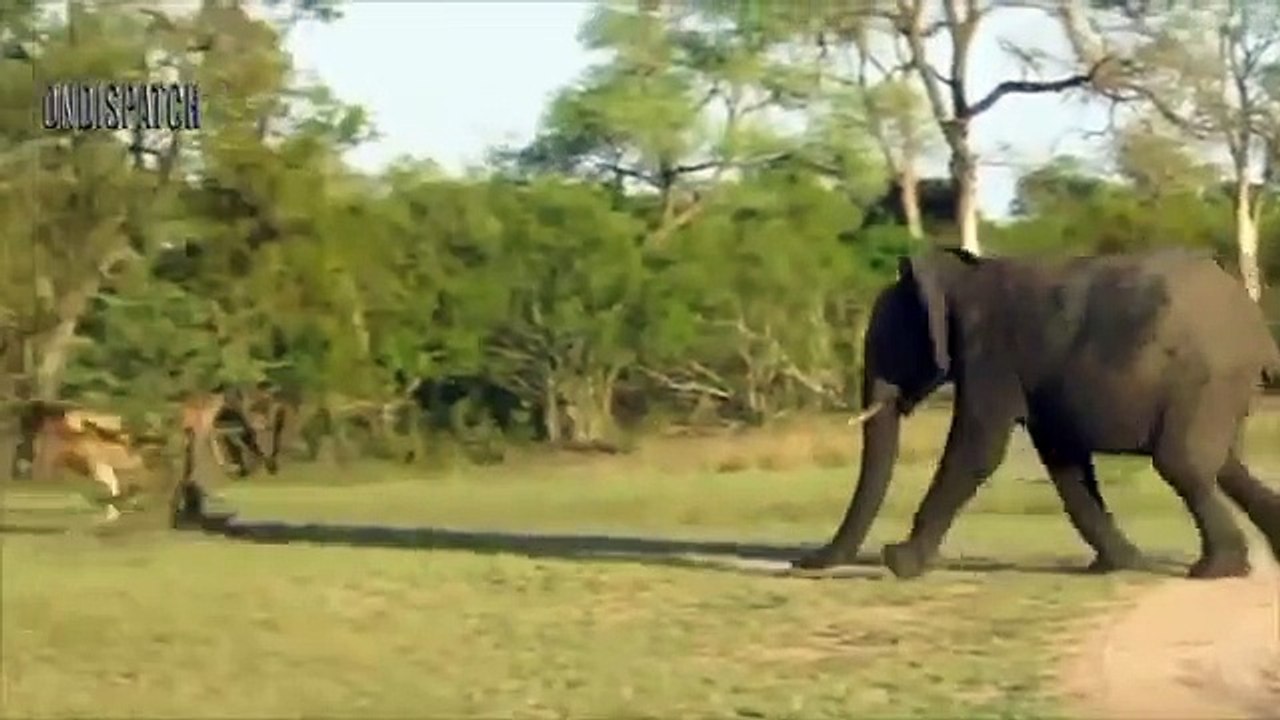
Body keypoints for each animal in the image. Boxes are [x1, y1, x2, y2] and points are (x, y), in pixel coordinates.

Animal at [794, 246, 1280, 580]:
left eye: (887, 343)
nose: (803, 563)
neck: (959, 276)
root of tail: (1256, 325)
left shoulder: (991, 355)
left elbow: (979, 448)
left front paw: (900, 562)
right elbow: (1065, 463)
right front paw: (1117, 565)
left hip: (1205, 379)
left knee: (1183, 464)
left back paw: (1215, 571)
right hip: (1215, 389)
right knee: (1222, 465)